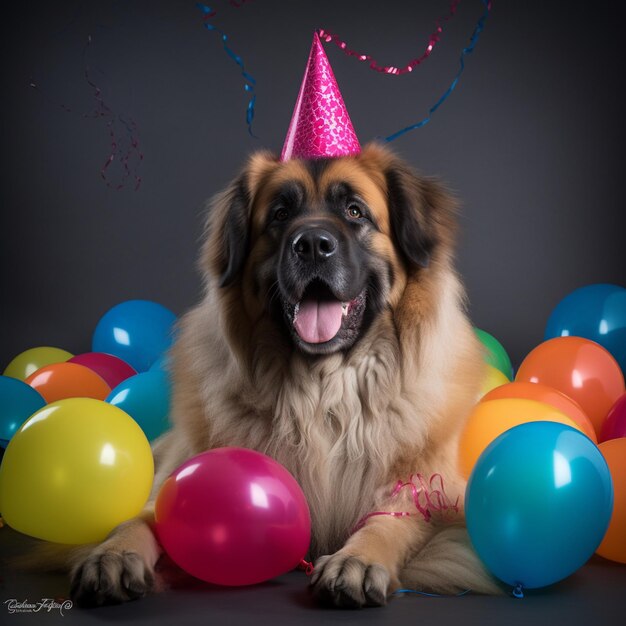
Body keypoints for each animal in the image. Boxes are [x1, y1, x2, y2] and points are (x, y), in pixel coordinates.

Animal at [62, 143, 498, 604]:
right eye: (280, 214)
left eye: (355, 211)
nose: (313, 245)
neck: (324, 392)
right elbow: (142, 519)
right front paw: (113, 554)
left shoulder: (431, 496)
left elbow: (391, 522)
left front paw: (357, 561)